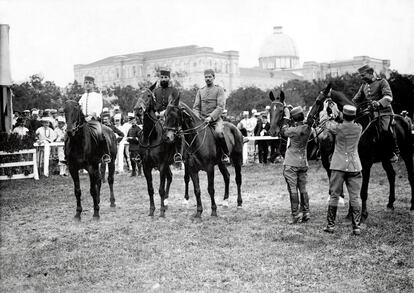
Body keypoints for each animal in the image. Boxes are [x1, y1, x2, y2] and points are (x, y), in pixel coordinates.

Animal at [133, 84, 174, 217]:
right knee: (170, 177)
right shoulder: (146, 166)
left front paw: (161, 211)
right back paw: (166, 203)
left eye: (148, 95)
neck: (150, 137)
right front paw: (152, 210)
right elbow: (150, 189)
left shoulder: (161, 165)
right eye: (137, 95)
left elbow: (160, 189)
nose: (138, 110)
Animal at [308, 83, 414, 220]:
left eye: (318, 101)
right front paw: (350, 213)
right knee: (391, 175)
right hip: (385, 158)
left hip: (407, 154)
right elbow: (351, 189)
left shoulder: (366, 164)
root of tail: (405, 119)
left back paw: (412, 206)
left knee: (410, 176)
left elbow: (363, 191)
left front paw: (363, 213)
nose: (308, 120)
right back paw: (390, 204)